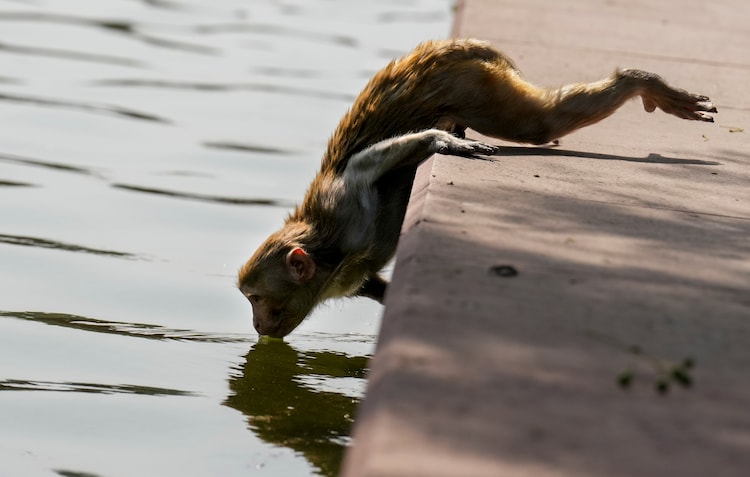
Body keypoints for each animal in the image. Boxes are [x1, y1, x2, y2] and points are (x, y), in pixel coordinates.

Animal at [237, 38, 716, 338]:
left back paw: (640, 80)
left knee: (537, 124)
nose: (257, 324)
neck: (330, 257)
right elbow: (375, 284)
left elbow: (365, 165)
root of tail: (444, 50)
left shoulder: (344, 205)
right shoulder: (347, 275)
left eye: (257, 298)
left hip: (472, 83)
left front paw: (439, 142)